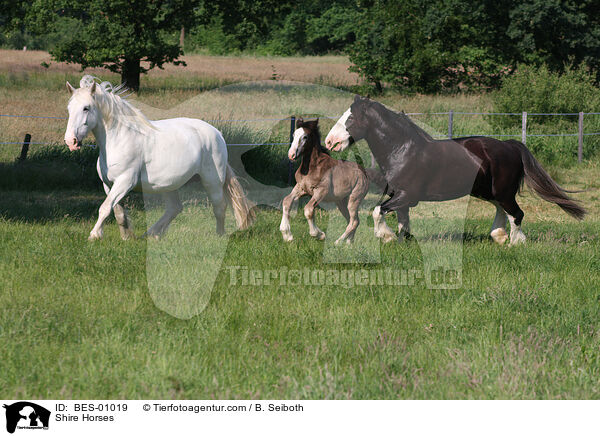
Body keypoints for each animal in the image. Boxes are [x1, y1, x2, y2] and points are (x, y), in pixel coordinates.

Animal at [63, 75, 255, 240]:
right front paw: (126, 236)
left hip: (212, 180)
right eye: (69, 109)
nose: (71, 141)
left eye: (86, 108)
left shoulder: (125, 181)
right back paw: (151, 234)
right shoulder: (109, 184)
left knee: (219, 206)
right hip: (169, 184)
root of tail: (217, 133)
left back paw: (219, 235)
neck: (118, 139)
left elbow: (104, 208)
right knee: (174, 208)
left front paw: (94, 235)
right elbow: (116, 211)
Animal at [326, 95, 584, 244]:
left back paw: (514, 243)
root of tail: (510, 145)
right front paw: (402, 241)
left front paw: (385, 236)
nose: (330, 142)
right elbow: (402, 221)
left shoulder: (407, 195)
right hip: (487, 192)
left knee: (516, 214)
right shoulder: (399, 197)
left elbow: (378, 211)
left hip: (503, 192)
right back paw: (498, 236)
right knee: (503, 210)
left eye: (351, 119)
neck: (402, 151)